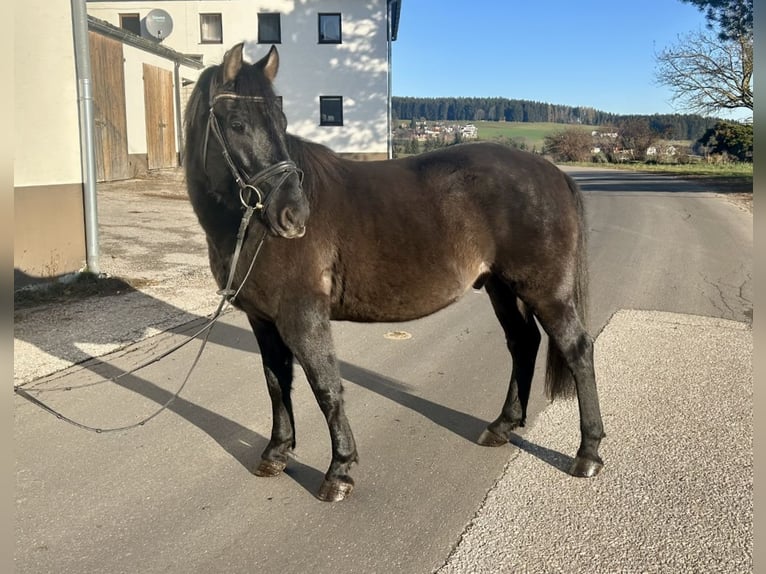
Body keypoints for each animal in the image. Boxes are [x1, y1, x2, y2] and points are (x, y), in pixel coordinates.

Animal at [184, 44, 608, 504]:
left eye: (280, 122)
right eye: (237, 123)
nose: (294, 215)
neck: (249, 227)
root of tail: (553, 172)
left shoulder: (302, 316)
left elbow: (326, 387)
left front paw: (339, 470)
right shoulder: (263, 319)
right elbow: (277, 382)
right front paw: (276, 453)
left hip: (545, 291)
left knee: (577, 350)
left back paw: (587, 453)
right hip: (501, 287)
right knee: (524, 342)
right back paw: (502, 426)